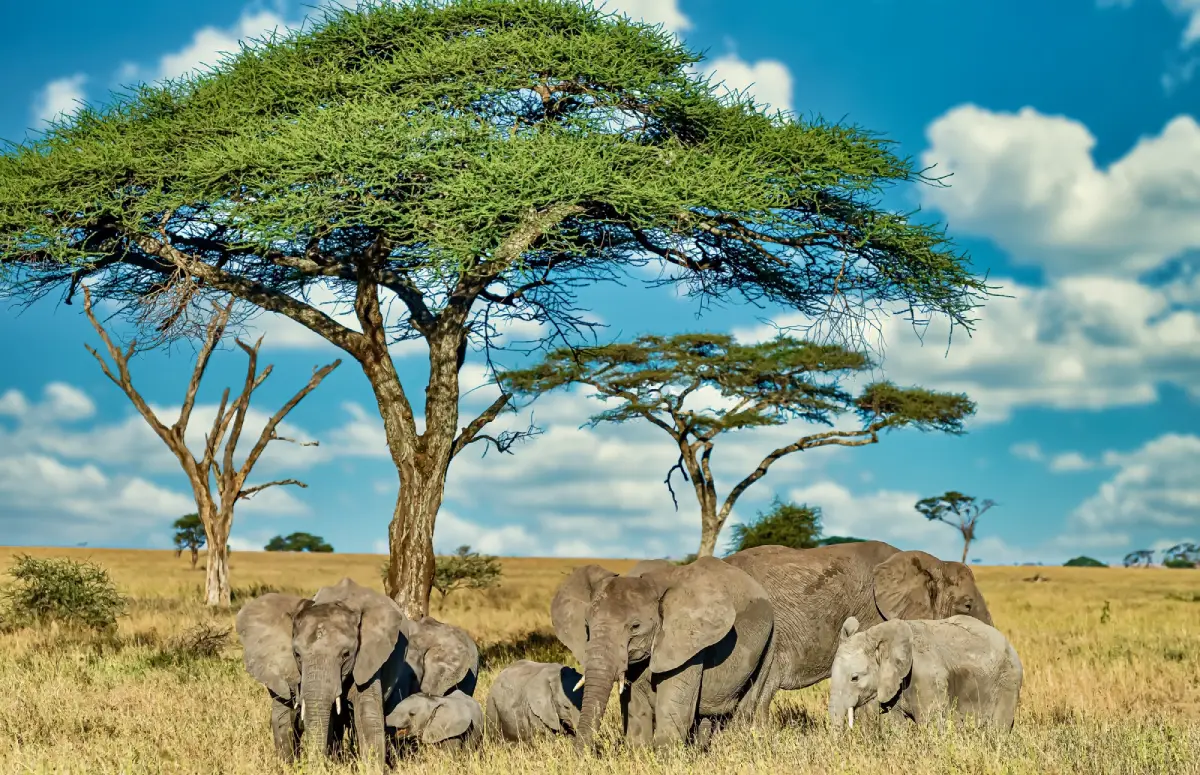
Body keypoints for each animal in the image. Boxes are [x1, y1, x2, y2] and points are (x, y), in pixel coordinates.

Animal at [549, 559, 772, 753]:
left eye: (635, 626)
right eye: (587, 626)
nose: (584, 756)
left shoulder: (687, 643)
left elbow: (673, 709)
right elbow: (636, 707)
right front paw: (639, 755)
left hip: (771, 638)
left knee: (750, 700)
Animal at [835, 614, 1022, 734]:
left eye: (854, 678)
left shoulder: (927, 677)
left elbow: (930, 723)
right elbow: (893, 723)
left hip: (1008, 681)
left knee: (998, 729)